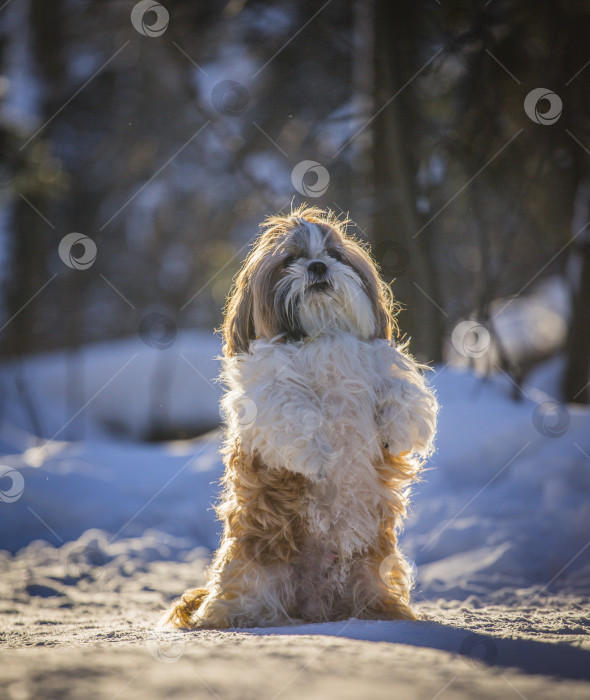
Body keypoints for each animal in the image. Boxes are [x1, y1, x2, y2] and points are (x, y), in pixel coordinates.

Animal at [165, 205, 440, 628]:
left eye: (334, 255)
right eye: (290, 260)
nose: (316, 266)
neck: (320, 336)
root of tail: (318, 607)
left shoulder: (380, 363)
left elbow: (401, 391)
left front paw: (397, 429)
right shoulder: (267, 392)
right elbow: (292, 410)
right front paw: (317, 455)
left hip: (374, 570)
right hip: (255, 574)